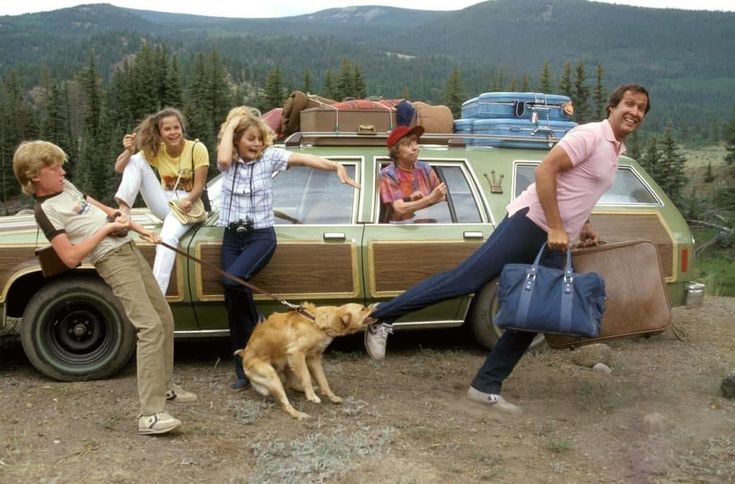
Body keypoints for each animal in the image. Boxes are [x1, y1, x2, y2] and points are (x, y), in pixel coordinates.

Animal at [243, 302, 374, 420]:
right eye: (363, 309)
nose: (374, 306)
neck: (316, 322)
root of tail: (244, 359)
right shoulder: (296, 353)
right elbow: (306, 377)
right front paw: (311, 396)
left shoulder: (313, 358)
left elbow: (323, 381)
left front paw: (332, 397)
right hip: (272, 375)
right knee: (285, 404)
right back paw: (299, 414)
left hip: (287, 363)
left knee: (292, 384)